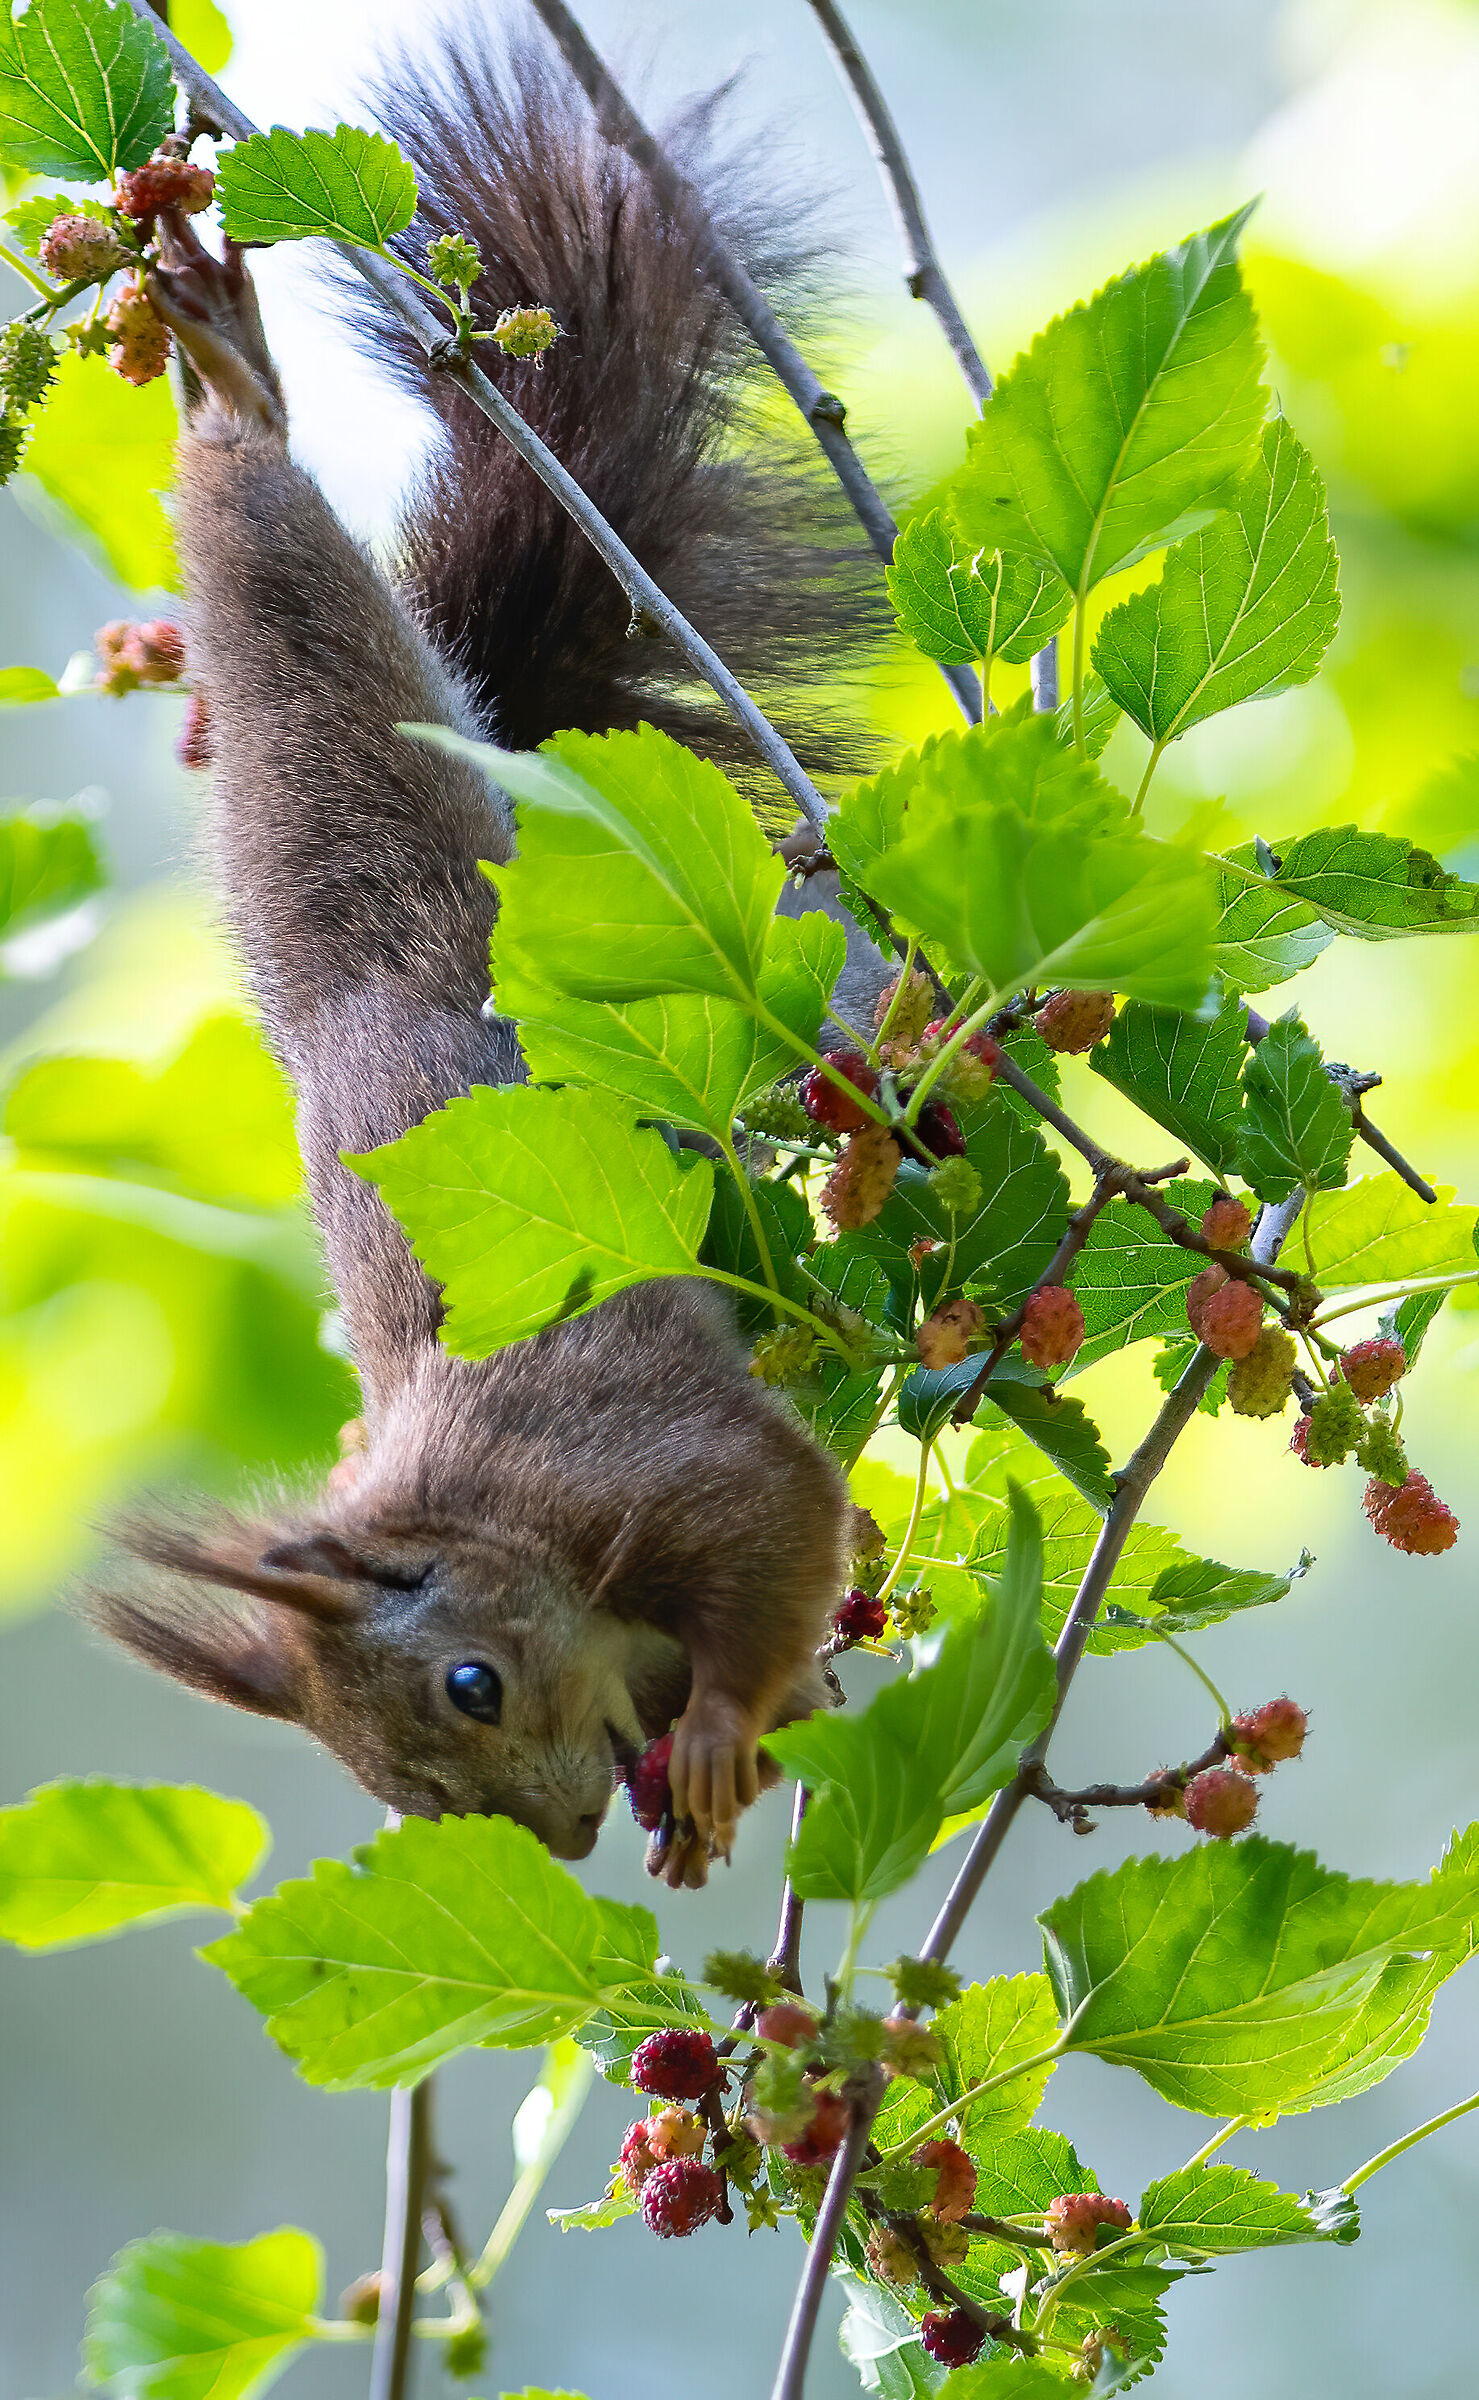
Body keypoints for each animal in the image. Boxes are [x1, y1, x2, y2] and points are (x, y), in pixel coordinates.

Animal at [88, 27, 887, 1888]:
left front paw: (726, 1723)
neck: (468, 1511)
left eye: (469, 1681)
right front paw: (737, 1752)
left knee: (278, 553)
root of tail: (358, 991)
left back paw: (232, 389)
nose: (575, 1833)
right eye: (418, 1800)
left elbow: (774, 1510)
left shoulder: (629, 1460)